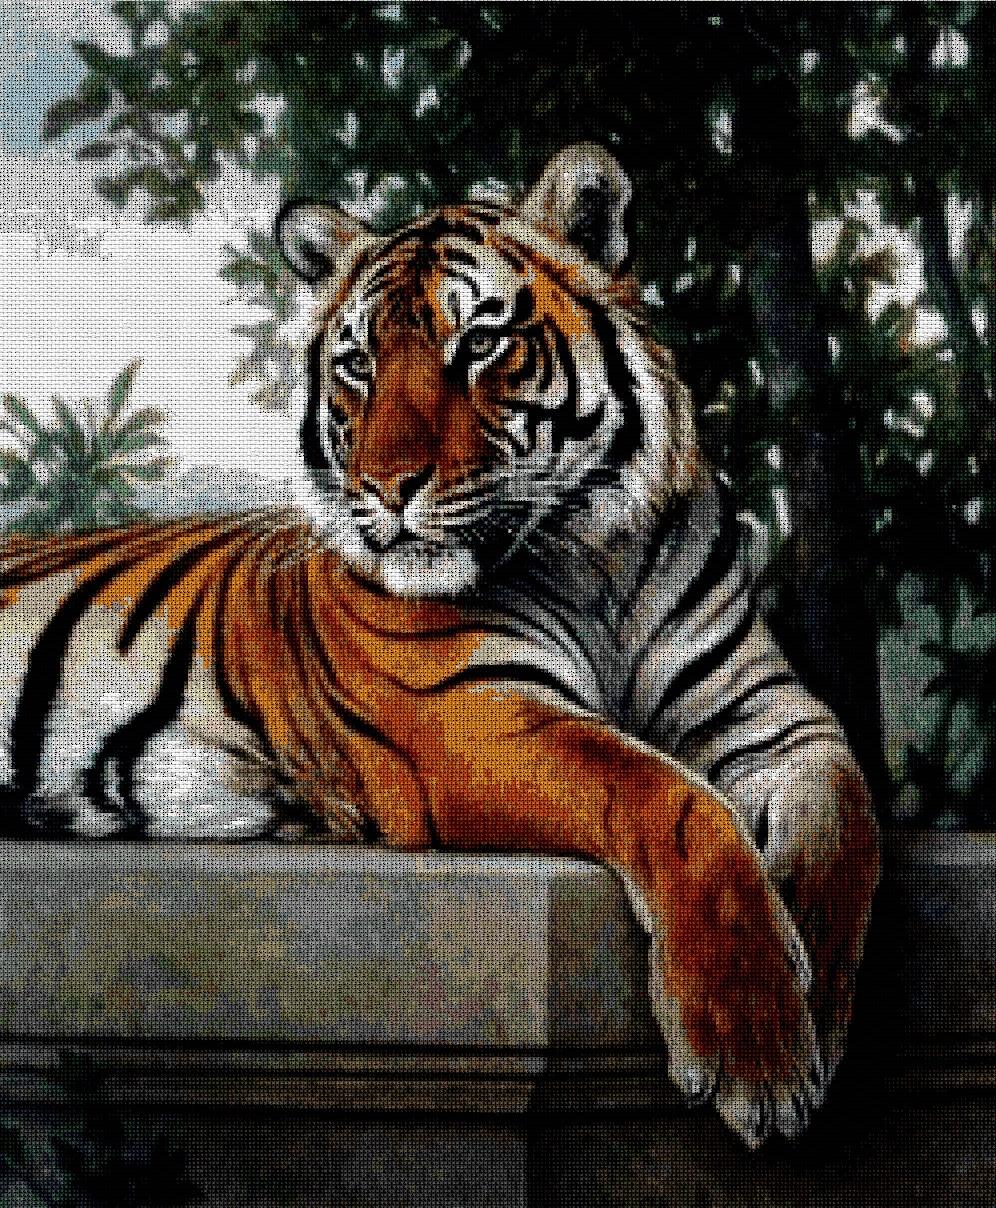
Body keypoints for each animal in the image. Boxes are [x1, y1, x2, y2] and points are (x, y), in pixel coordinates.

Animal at [0, 143, 879, 1148]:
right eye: (357, 364)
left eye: (482, 345)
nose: (385, 487)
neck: (597, 563)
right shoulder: (473, 717)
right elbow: (669, 799)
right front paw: (759, 1049)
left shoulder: (772, 715)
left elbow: (845, 821)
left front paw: (816, 999)